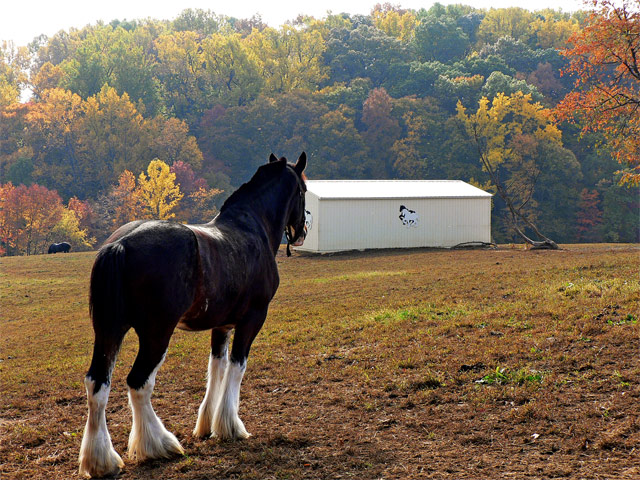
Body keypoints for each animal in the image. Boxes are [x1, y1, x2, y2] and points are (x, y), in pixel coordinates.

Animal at [77, 153, 308, 476]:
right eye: (304, 190)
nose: (302, 232)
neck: (251, 228)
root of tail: (120, 244)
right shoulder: (252, 320)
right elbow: (237, 367)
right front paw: (231, 427)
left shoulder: (222, 325)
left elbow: (216, 367)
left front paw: (208, 425)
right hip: (156, 334)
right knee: (138, 382)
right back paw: (158, 445)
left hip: (109, 330)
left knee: (97, 383)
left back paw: (102, 460)